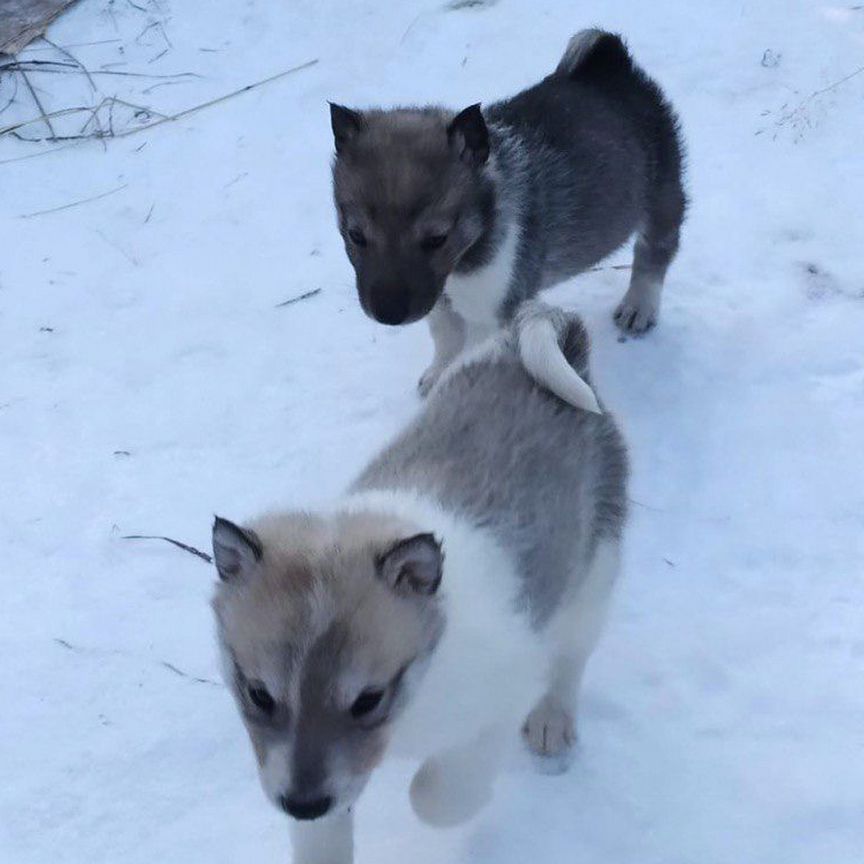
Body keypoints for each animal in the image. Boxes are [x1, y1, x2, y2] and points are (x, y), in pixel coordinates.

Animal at [209, 302, 628, 856]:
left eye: (368, 700)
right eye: (259, 694)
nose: (302, 804)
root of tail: (545, 345)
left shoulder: (503, 693)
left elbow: (435, 796)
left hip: (594, 574)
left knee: (571, 657)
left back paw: (551, 720)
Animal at [330, 28, 688, 394]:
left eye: (436, 238)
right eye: (355, 235)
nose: (388, 315)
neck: (461, 261)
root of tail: (610, 64)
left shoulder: (492, 311)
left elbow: (470, 353)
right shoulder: (439, 303)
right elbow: (445, 337)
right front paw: (437, 373)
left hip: (663, 195)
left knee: (656, 251)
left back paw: (639, 306)